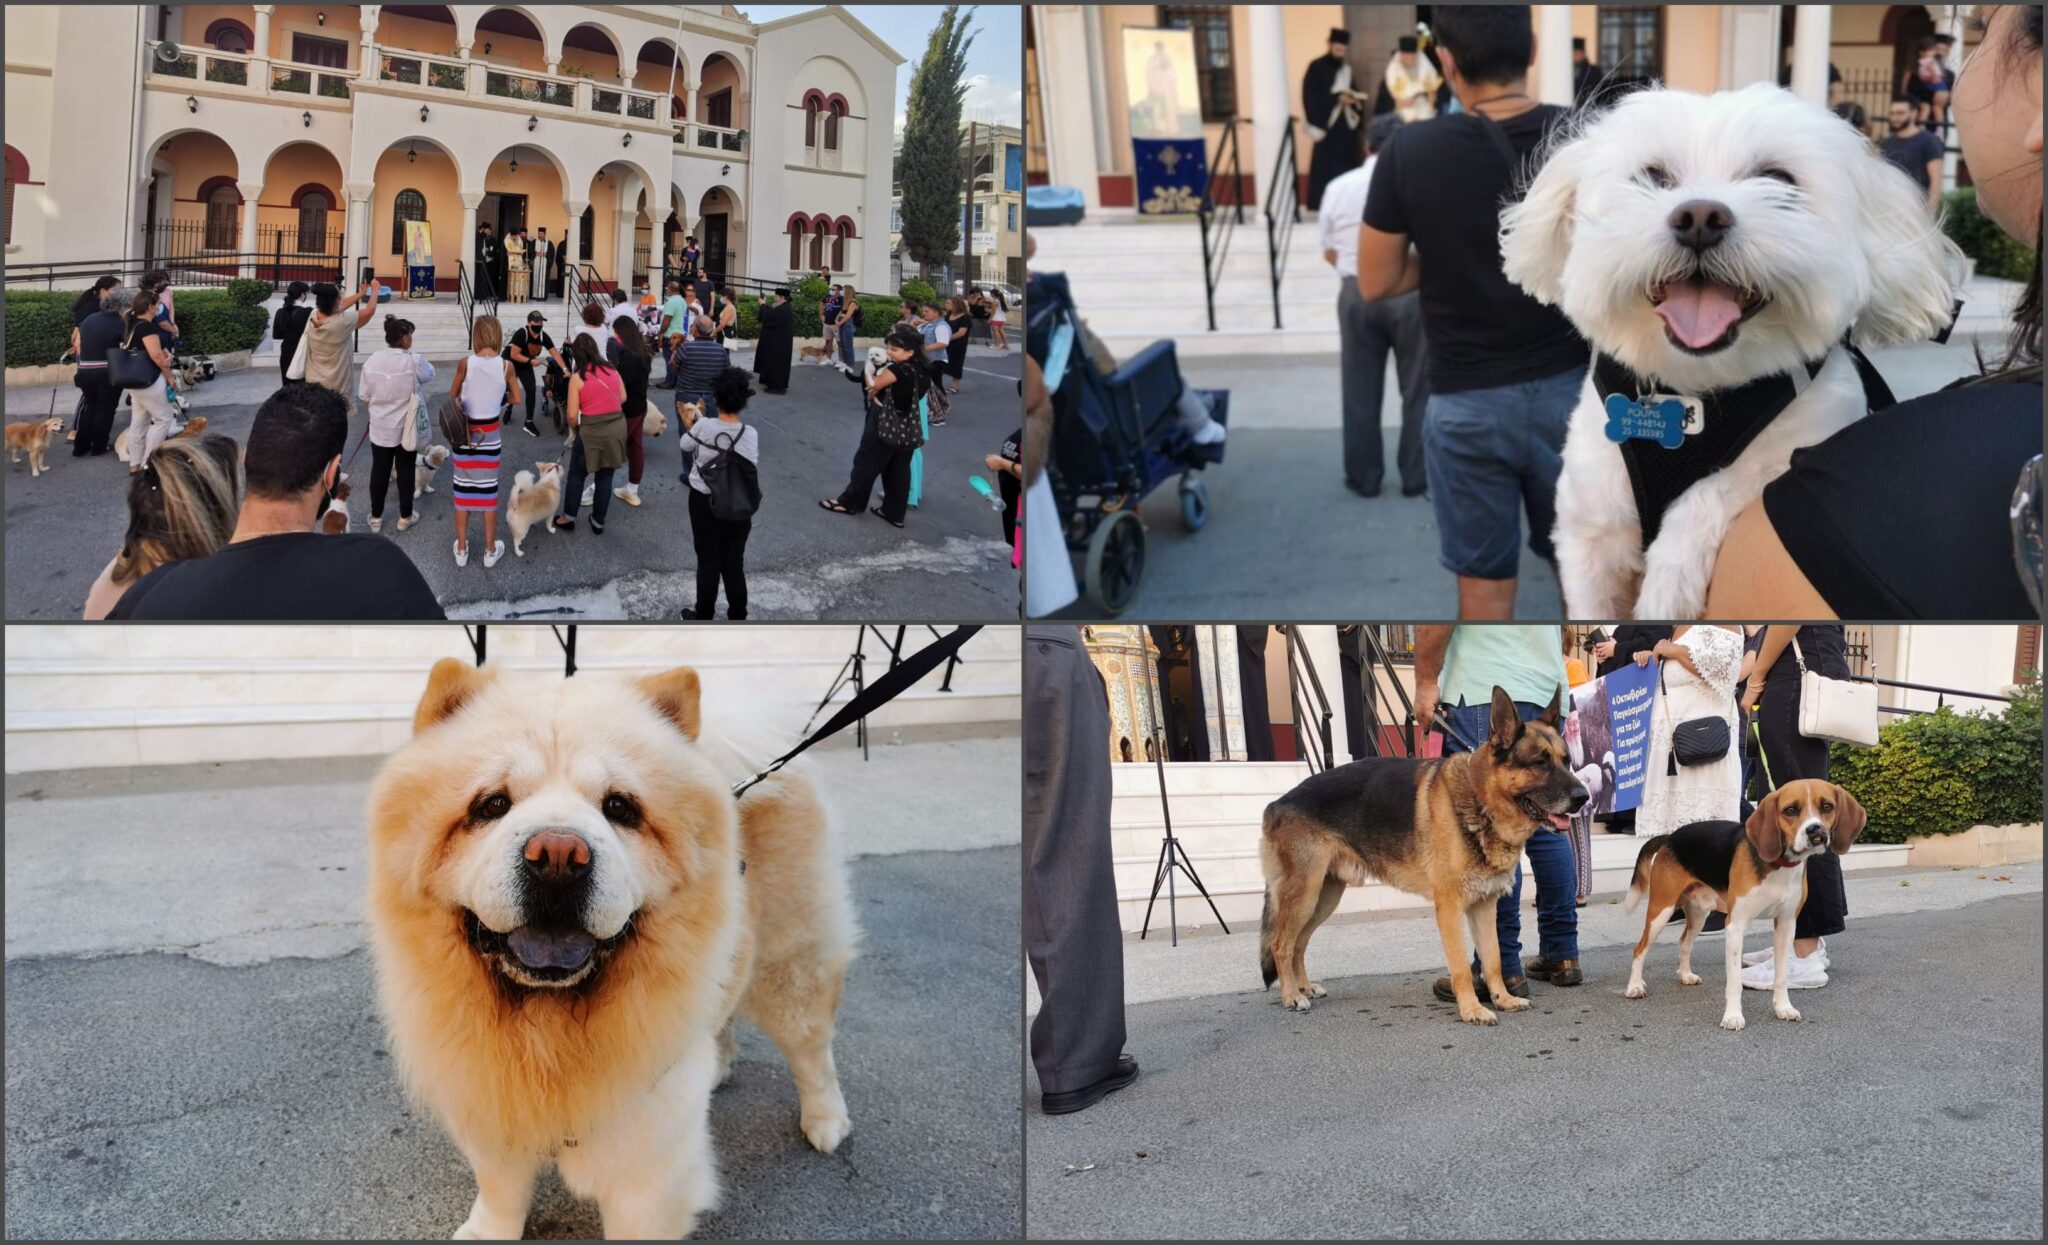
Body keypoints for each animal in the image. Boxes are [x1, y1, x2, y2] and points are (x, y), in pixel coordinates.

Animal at [364, 663, 851, 1236]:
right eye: (493, 804)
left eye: (620, 807)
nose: (556, 856)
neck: (548, 1028)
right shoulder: (491, 1101)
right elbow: (500, 1187)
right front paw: (486, 1231)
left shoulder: (647, 1164)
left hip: (792, 965)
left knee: (812, 1051)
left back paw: (826, 1122)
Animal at [1253, 683, 1589, 1027]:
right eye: (1540, 763)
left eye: (1566, 761)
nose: (1584, 798)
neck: (1480, 798)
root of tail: (1276, 803)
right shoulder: (1450, 908)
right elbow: (1461, 967)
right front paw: (1471, 1009)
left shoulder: (1484, 906)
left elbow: (1493, 959)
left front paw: (1503, 999)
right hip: (1305, 895)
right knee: (1281, 944)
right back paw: (1291, 995)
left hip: (1324, 897)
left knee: (1298, 942)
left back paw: (1303, 987)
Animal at [1499, 82, 1957, 618]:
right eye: (1653, 177)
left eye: (1777, 179)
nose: (1700, 216)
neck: (1696, 389)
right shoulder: (1591, 526)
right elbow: (1591, 600)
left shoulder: (1803, 445)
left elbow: (1723, 482)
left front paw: (1669, 582)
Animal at [1622, 778, 1867, 1032]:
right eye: (1790, 810)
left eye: (1827, 807)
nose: (1815, 830)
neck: (1779, 865)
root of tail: (1669, 837)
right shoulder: (1735, 925)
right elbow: (1734, 981)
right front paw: (1732, 1016)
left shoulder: (1786, 925)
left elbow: (1781, 976)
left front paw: (1783, 1008)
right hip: (1661, 911)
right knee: (1639, 949)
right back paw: (1635, 986)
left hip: (1699, 914)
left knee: (1684, 943)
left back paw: (1685, 975)